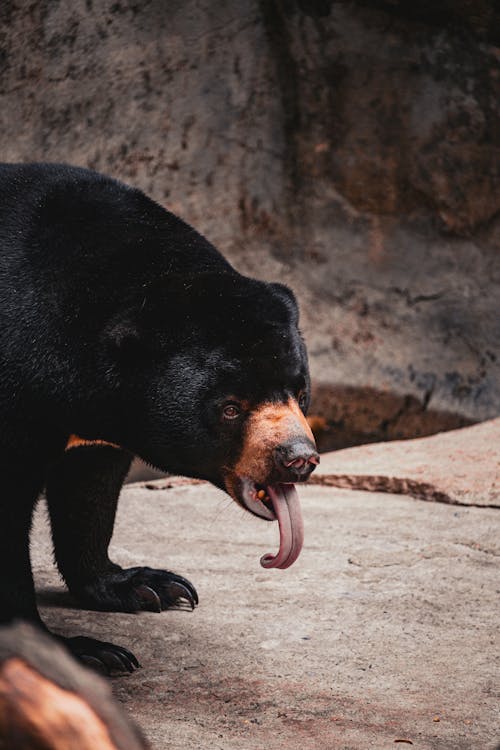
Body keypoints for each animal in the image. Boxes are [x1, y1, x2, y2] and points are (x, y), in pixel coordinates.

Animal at [0, 163, 320, 668]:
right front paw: (80, 651)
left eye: (299, 391)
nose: (297, 459)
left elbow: (90, 486)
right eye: (230, 408)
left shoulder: (95, 415)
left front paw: (148, 586)